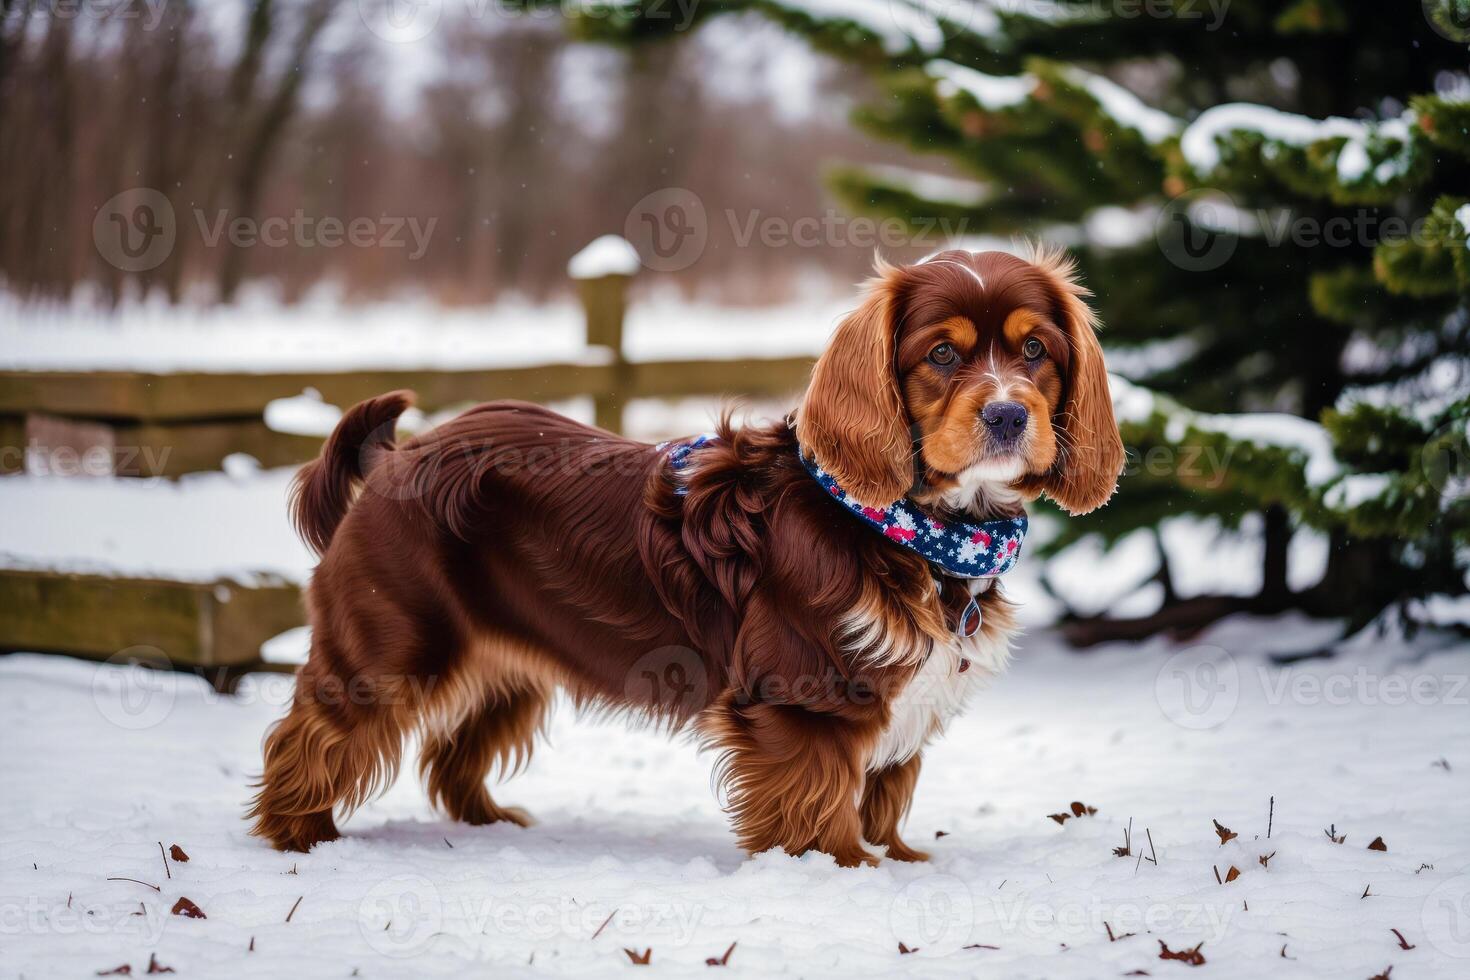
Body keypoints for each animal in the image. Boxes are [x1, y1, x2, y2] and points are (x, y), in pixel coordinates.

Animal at [249, 246, 1123, 863]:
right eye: (942, 356)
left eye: (1036, 351)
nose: (1008, 416)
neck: (911, 526)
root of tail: (396, 456)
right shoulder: (808, 699)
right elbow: (822, 808)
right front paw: (846, 871)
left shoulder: (902, 701)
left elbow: (884, 796)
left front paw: (901, 860)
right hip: (388, 648)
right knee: (311, 735)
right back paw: (299, 835)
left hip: (508, 662)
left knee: (453, 750)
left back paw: (490, 823)